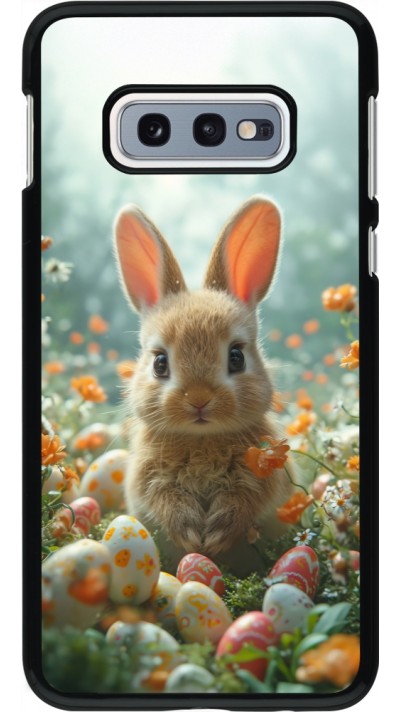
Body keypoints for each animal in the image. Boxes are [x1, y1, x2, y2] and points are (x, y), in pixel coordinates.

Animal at [114, 196, 294, 570]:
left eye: (236, 357)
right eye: (160, 363)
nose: (198, 399)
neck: (201, 439)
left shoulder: (263, 475)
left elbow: (245, 500)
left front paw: (217, 535)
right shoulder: (148, 478)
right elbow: (165, 499)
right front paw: (191, 534)